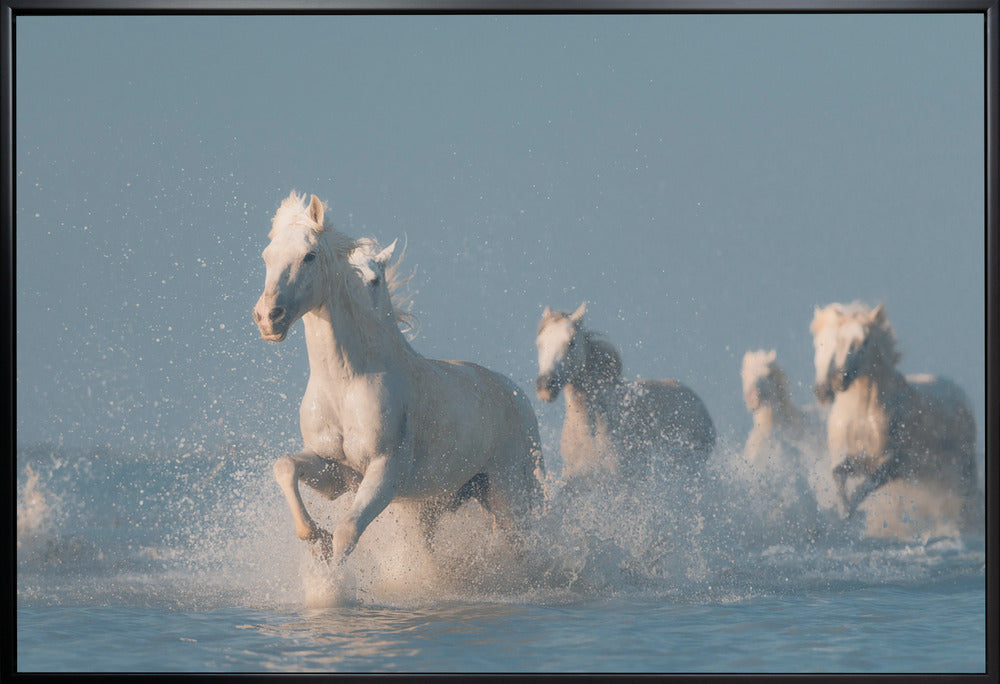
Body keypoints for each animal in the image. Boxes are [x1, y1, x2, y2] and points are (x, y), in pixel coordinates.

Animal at [253, 192, 545, 563]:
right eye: (267, 256)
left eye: (309, 255)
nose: (268, 318)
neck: (346, 383)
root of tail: (517, 394)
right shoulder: (336, 472)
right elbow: (285, 466)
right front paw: (315, 537)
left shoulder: (385, 472)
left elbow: (347, 532)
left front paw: (331, 569)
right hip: (440, 503)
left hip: (508, 493)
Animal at [809, 301, 977, 518]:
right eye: (839, 340)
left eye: (864, 341)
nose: (837, 382)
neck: (862, 414)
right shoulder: (856, 459)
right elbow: (839, 473)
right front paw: (844, 512)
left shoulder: (892, 464)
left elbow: (867, 485)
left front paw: (851, 512)